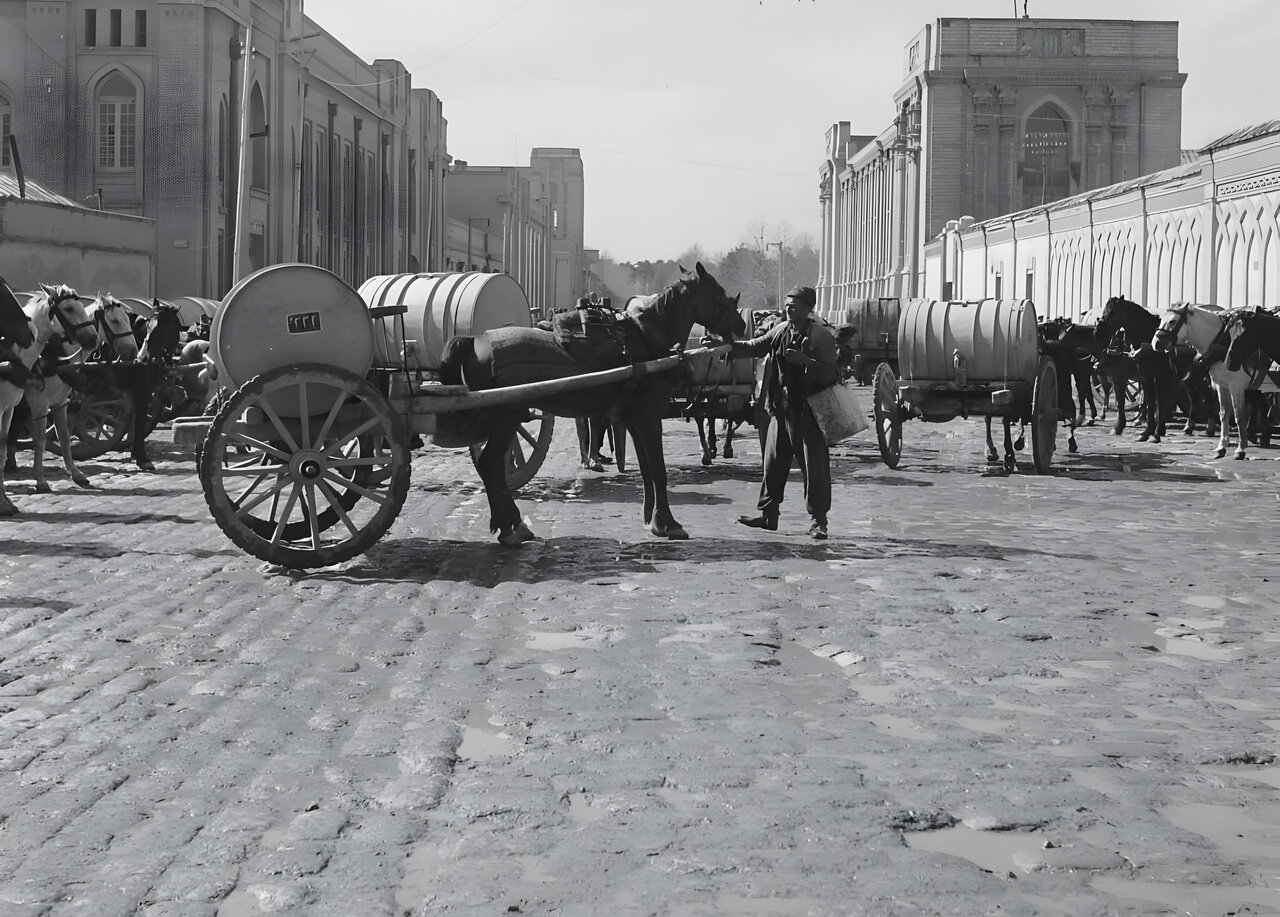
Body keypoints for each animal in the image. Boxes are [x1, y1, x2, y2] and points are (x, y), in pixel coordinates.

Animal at [0, 283, 99, 512]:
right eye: (69, 308)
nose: (93, 339)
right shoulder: (39, 404)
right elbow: (40, 439)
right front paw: (41, 481)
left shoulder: (57, 404)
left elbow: (63, 435)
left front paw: (76, 473)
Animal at [437, 261, 747, 540]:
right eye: (719, 292)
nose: (742, 323)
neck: (646, 342)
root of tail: (475, 340)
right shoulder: (648, 416)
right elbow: (658, 469)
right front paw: (667, 522)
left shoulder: (633, 419)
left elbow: (647, 469)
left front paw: (651, 518)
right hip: (506, 418)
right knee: (491, 464)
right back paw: (511, 526)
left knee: (490, 467)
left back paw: (511, 524)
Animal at [1157, 302, 1254, 458]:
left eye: (1172, 321)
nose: (1155, 343)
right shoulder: (1221, 385)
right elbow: (1224, 414)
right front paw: (1221, 446)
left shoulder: (1236, 386)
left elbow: (1239, 415)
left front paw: (1240, 449)